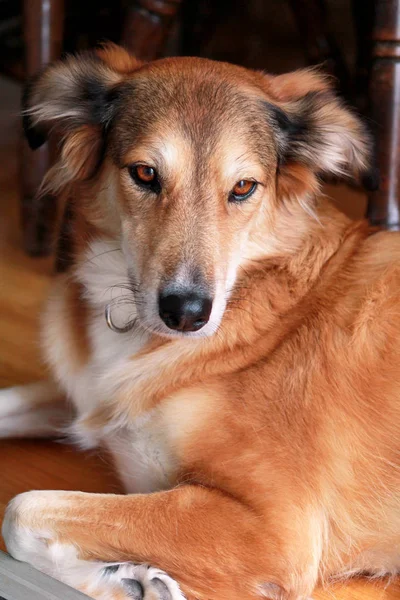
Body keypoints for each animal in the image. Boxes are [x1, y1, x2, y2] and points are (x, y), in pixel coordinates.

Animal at [0, 43, 400, 600]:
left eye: (244, 187)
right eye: (145, 174)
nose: (186, 314)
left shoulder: (276, 528)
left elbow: (23, 508)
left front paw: (130, 581)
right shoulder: (89, 400)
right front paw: (128, 576)